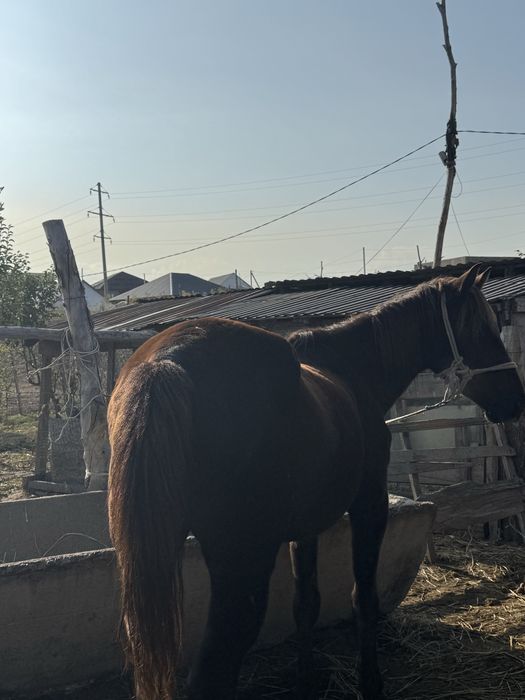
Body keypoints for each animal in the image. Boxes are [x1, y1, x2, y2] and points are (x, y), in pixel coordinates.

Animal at [107, 265, 525, 700]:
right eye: (481, 330)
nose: (516, 401)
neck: (353, 374)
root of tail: (167, 360)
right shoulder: (370, 505)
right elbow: (363, 598)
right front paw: (370, 683)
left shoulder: (304, 529)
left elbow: (306, 602)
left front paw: (305, 679)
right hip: (242, 562)